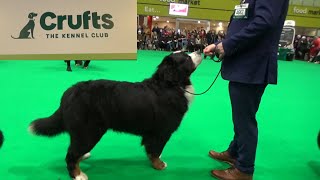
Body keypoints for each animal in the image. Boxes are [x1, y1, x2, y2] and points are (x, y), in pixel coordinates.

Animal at [28, 51, 202, 179]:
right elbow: (156, 150)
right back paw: (78, 174)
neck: (172, 85)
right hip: (89, 131)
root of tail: (69, 93)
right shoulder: (161, 131)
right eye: (186, 57)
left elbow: (151, 149)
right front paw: (159, 165)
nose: (200, 49)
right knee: (71, 154)